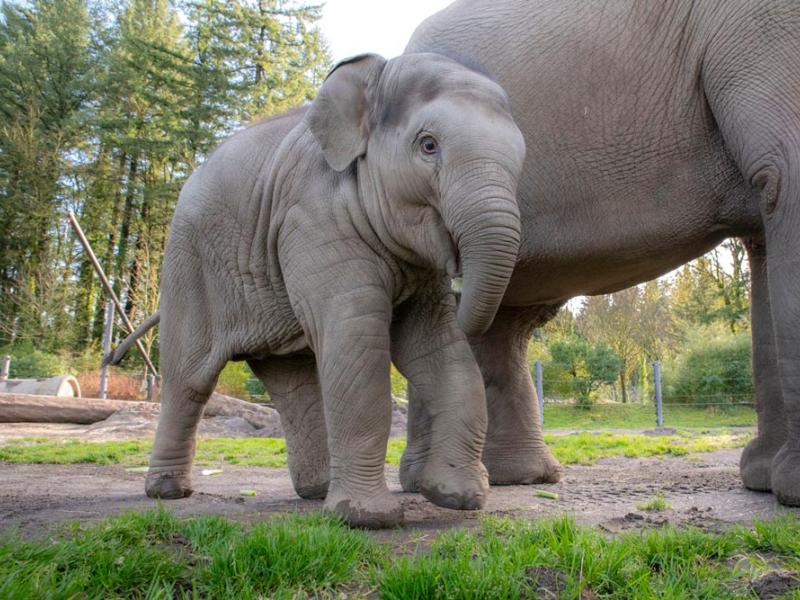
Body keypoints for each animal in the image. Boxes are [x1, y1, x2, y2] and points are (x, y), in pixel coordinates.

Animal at [108, 51, 527, 528]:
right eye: (428, 145)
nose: (459, 279)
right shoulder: (312, 217)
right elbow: (356, 338)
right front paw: (368, 518)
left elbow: (438, 350)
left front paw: (457, 497)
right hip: (188, 264)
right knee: (189, 378)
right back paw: (167, 492)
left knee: (293, 384)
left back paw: (315, 491)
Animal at [393, 0, 800, 505]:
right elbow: (786, 173)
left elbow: (769, 219)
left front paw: (765, 481)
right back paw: (433, 483)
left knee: (507, 318)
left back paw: (517, 478)